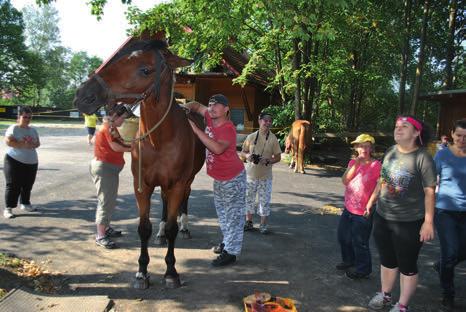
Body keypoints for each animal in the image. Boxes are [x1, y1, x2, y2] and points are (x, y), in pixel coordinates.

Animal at [73, 39, 204, 290]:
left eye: (145, 70)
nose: (83, 95)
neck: (160, 140)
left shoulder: (177, 184)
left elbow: (172, 227)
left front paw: (171, 272)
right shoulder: (142, 186)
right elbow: (144, 228)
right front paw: (142, 272)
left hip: (187, 181)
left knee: (184, 201)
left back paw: (185, 227)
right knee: (164, 205)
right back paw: (161, 234)